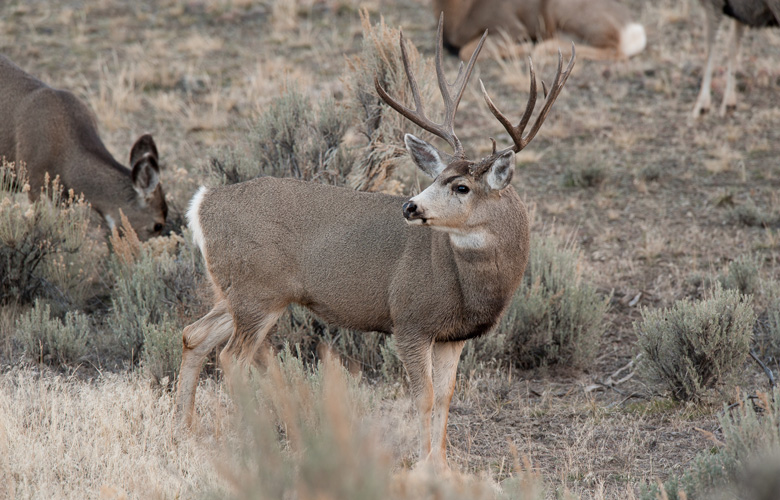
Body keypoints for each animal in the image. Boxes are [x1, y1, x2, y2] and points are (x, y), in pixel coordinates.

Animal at [177, 15, 576, 468]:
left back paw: (184, 432)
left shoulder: (452, 336)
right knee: (230, 359)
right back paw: (250, 447)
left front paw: (442, 465)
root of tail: (202, 204)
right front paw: (422, 466)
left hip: (239, 293)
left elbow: (446, 398)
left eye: (460, 186)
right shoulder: (410, 319)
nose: (410, 206)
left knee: (194, 335)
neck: (468, 284)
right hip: (257, 293)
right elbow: (424, 398)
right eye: (438, 178)